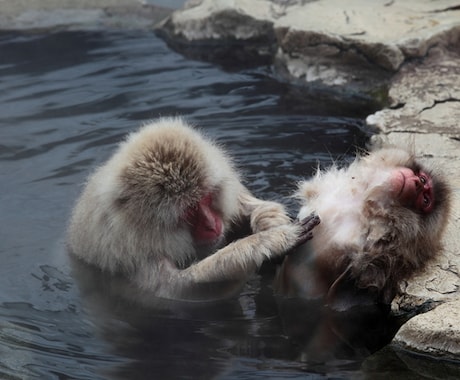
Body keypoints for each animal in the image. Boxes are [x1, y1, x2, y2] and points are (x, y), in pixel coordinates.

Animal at [68, 117, 320, 302]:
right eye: (189, 211)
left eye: (206, 198)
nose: (211, 224)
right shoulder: (131, 251)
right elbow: (177, 291)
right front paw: (269, 242)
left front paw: (269, 222)